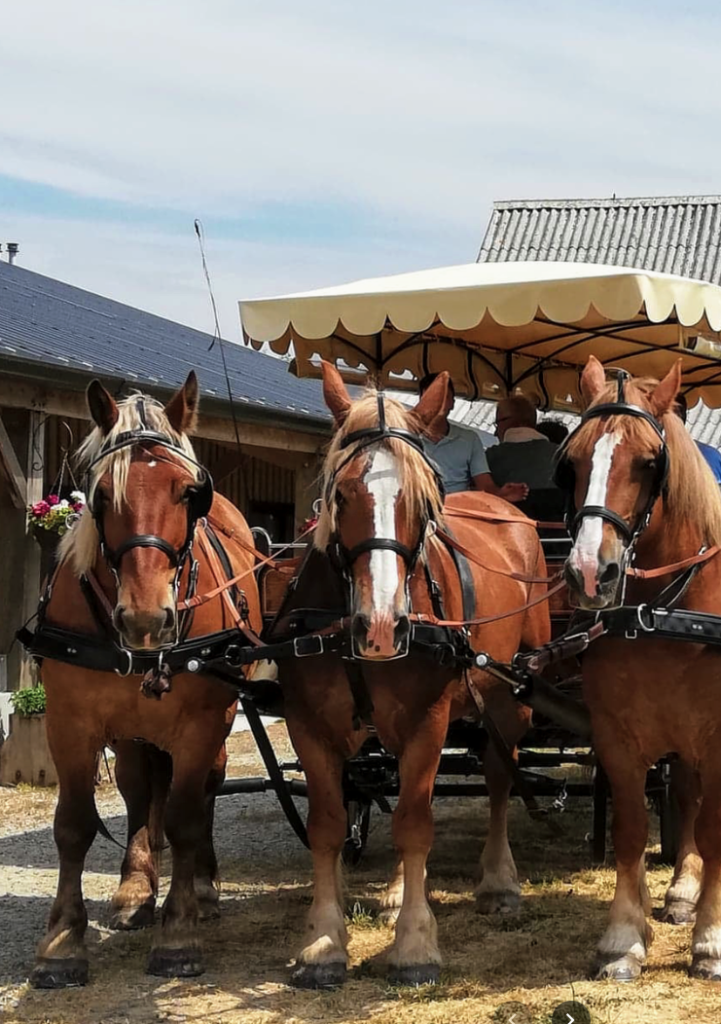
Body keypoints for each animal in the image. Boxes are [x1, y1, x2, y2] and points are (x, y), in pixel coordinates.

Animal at [30, 372, 262, 987]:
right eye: (101, 497)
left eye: (188, 493)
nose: (145, 619)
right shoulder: (69, 723)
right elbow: (74, 824)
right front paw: (62, 942)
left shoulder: (204, 721)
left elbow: (183, 817)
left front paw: (179, 931)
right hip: (131, 729)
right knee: (138, 791)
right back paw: (135, 887)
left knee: (204, 791)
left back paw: (202, 884)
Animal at [272, 362, 551, 988]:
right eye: (340, 492)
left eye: (425, 500)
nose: (381, 627)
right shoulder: (309, 724)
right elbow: (328, 825)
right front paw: (322, 942)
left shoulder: (429, 720)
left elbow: (416, 824)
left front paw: (416, 944)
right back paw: (401, 890)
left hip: (512, 697)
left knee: (500, 777)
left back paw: (499, 881)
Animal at [561, 354, 721, 981]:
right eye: (572, 461)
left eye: (650, 463)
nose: (589, 572)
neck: (663, 613)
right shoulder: (617, 735)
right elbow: (629, 831)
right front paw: (624, 937)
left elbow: (713, 830)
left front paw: (710, 940)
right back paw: (677, 894)